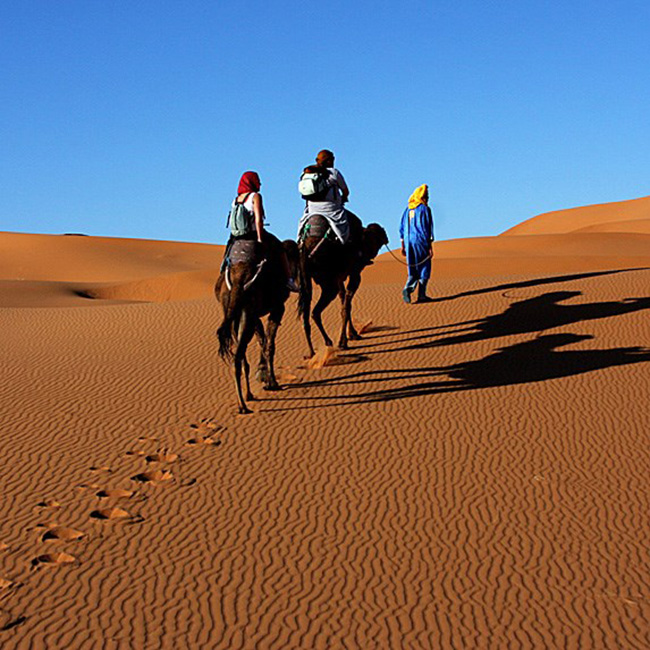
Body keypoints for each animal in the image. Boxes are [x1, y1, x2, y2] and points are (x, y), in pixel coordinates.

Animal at [218, 235, 298, 412]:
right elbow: (269, 344)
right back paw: (242, 405)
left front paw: (263, 375)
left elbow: (262, 340)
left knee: (240, 356)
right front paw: (272, 382)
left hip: (234, 311)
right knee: (238, 357)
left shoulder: (254, 315)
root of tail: (237, 279)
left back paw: (247, 396)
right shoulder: (278, 308)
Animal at [298, 215, 388, 356]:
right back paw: (327, 345)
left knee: (309, 312)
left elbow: (344, 300)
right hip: (328, 282)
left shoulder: (340, 277)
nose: (386, 238)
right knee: (316, 310)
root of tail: (305, 251)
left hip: (307, 280)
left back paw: (314, 350)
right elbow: (346, 306)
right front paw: (344, 341)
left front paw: (352, 335)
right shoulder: (355, 273)